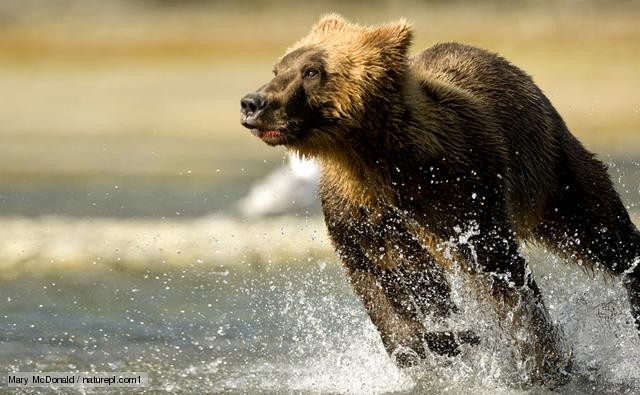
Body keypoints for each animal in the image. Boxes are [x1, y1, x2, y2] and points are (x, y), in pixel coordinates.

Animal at [239, 14, 640, 386]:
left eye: (311, 71)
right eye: (279, 67)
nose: (252, 102)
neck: (373, 161)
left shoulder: (460, 193)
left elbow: (505, 281)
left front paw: (541, 362)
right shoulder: (359, 218)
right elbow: (383, 292)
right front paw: (445, 346)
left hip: (549, 169)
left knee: (602, 231)